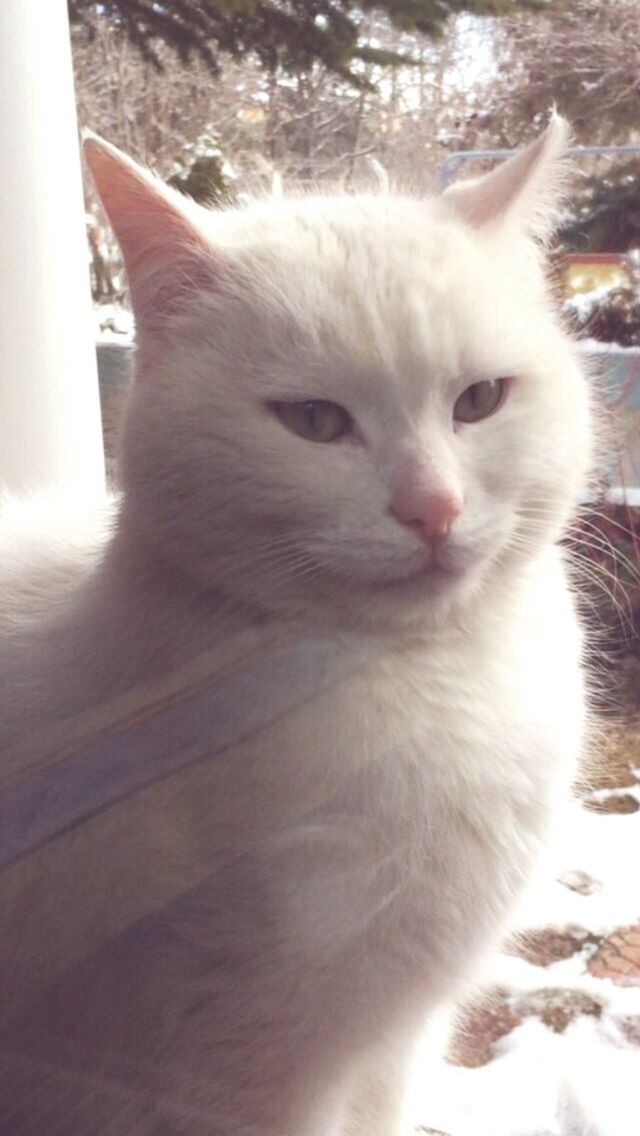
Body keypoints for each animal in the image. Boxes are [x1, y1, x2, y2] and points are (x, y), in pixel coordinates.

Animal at [0, 117, 595, 1136]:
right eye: (314, 421)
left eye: (480, 401)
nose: (433, 509)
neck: (431, 682)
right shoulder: (234, 1078)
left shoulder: (396, 1046)